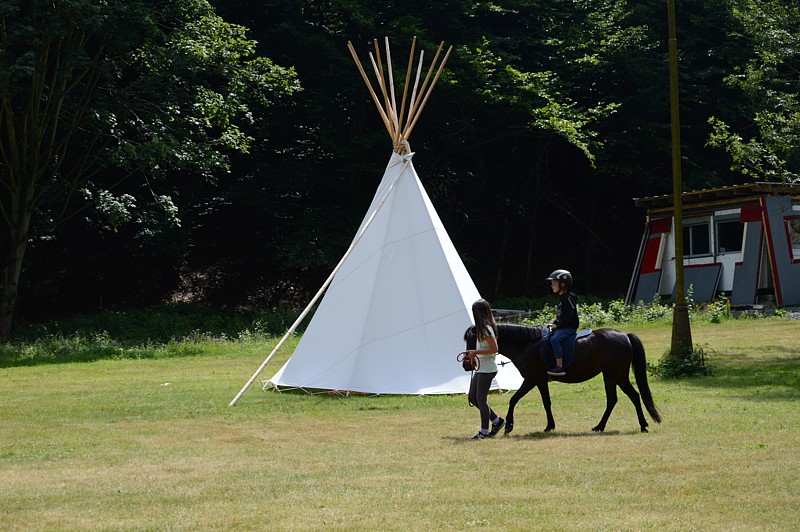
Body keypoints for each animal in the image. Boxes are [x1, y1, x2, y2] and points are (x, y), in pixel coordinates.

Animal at [462, 322, 664, 434]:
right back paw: (607, 426)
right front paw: (549, 426)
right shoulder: (540, 381)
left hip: (615, 375)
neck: (528, 345)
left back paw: (637, 425)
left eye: (474, 340)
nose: (466, 365)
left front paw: (509, 425)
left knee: (627, 397)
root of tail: (625, 336)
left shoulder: (531, 379)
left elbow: (514, 399)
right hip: (614, 376)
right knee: (622, 398)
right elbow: (547, 402)